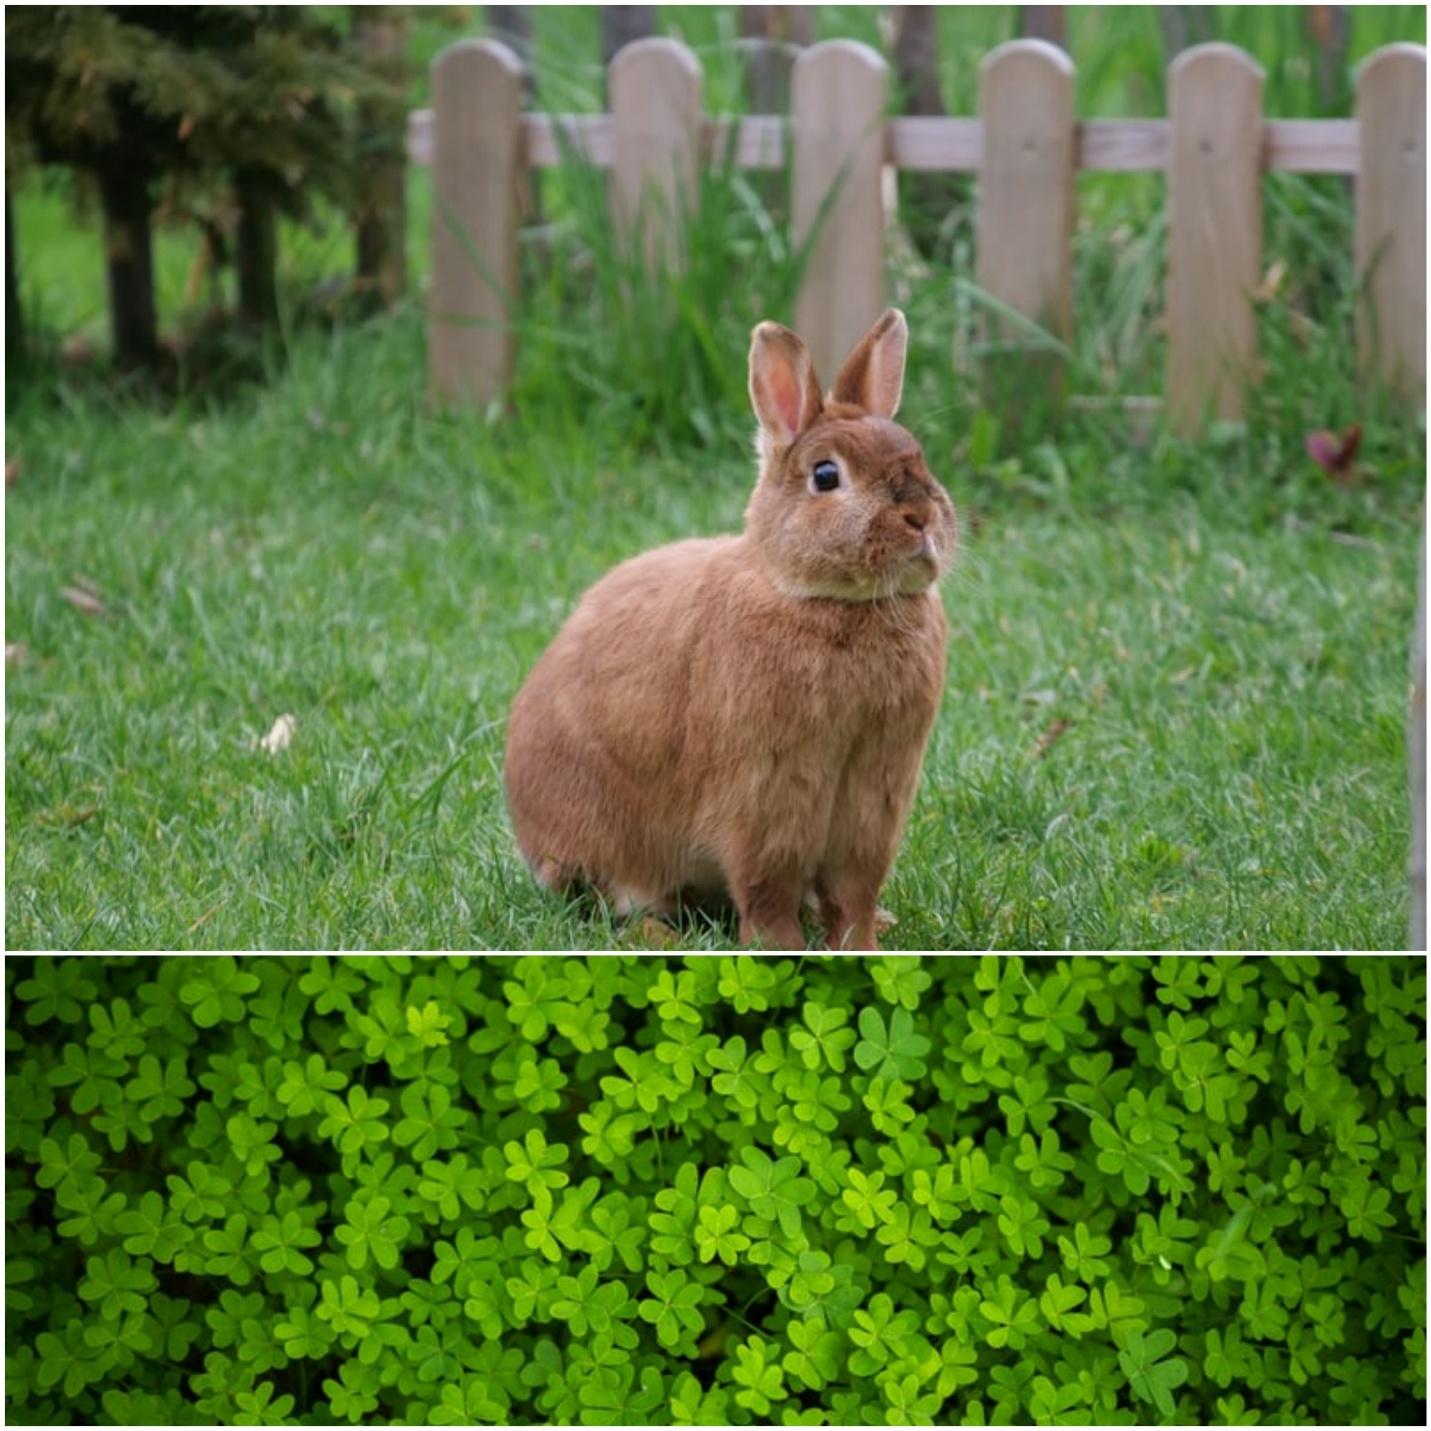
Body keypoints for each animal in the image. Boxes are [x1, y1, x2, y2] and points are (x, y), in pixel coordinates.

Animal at [505, 307, 957, 950]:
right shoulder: (766, 795)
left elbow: (854, 891)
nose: (921, 517)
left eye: (917, 456)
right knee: (620, 900)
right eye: (826, 475)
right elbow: (768, 887)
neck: (826, 600)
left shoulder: (875, 798)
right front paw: (782, 949)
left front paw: (862, 947)